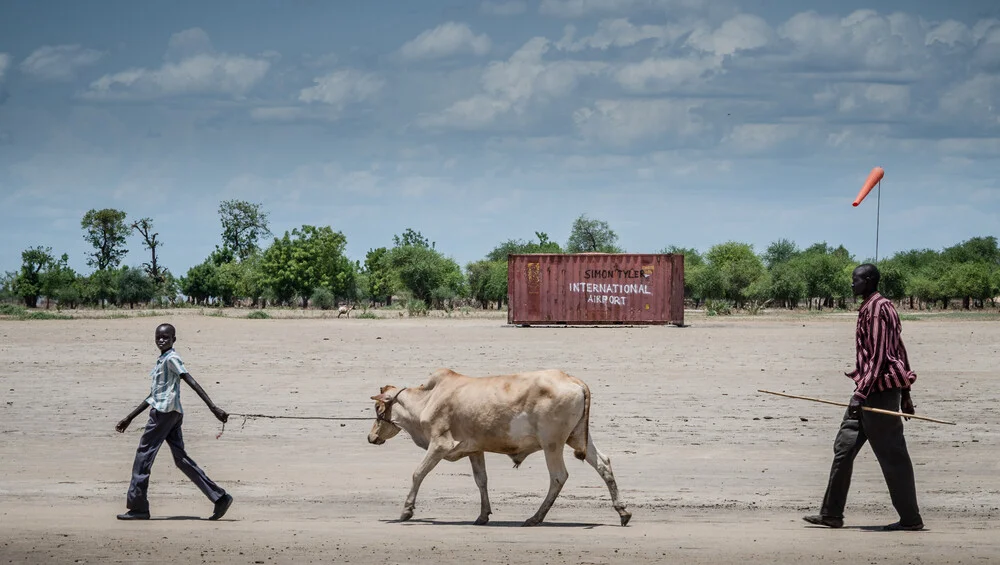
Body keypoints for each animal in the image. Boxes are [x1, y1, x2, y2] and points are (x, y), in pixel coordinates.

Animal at [368, 368, 632, 528]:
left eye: (379, 409)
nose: (371, 437)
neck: (427, 400)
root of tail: (574, 380)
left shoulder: (440, 445)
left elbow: (418, 473)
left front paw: (407, 510)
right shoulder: (475, 449)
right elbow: (481, 481)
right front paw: (483, 515)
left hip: (552, 443)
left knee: (558, 477)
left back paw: (535, 517)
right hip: (577, 438)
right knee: (603, 464)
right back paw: (623, 512)